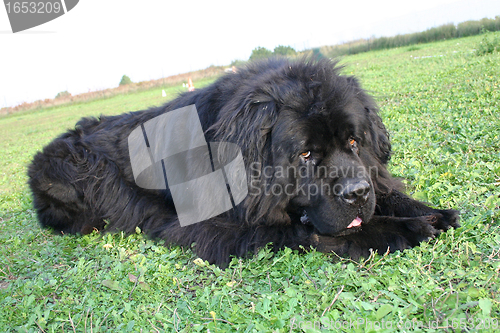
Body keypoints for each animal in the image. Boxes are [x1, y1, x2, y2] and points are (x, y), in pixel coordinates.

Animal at [26, 57, 458, 264]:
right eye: (305, 154)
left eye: (353, 142)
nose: (356, 193)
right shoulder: (223, 226)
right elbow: (310, 230)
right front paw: (405, 228)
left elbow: (388, 191)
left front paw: (430, 210)